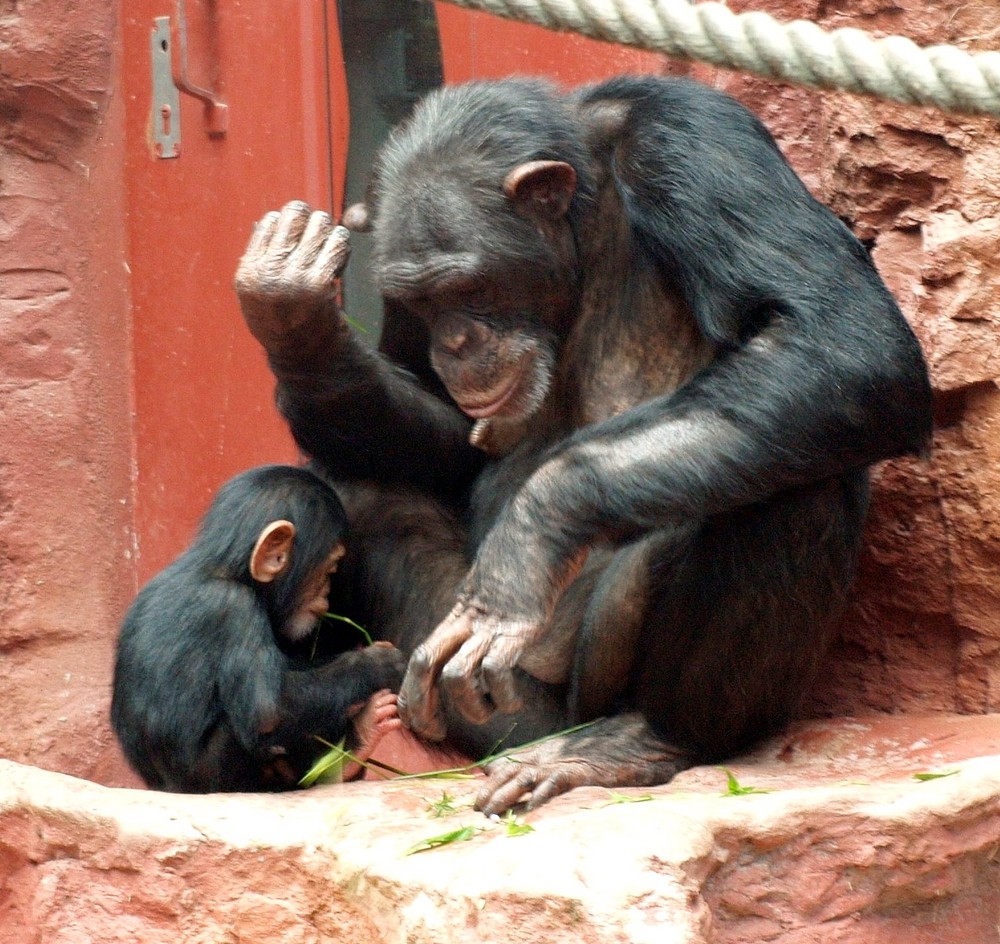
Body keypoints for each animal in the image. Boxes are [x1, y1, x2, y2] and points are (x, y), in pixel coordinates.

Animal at [110, 462, 406, 788]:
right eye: (329, 569)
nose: (327, 592)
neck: (229, 571)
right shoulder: (235, 609)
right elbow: (266, 711)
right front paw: (377, 664)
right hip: (218, 777)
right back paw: (357, 741)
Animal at [236, 75, 936, 812]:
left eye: (468, 285)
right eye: (421, 300)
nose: (454, 342)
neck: (584, 213)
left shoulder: (694, 136)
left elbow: (842, 339)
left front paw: (525, 545)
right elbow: (451, 439)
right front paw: (296, 320)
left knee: (791, 486)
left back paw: (636, 741)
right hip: (484, 702)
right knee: (361, 487)